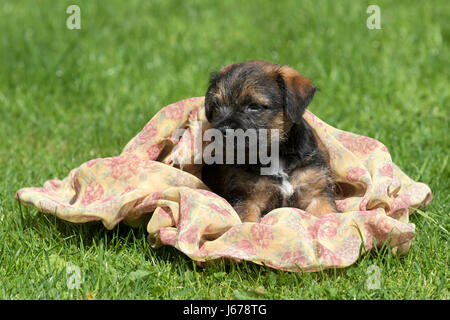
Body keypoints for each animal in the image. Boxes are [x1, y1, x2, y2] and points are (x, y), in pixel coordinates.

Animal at [201, 61, 338, 224]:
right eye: (216, 106)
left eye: (254, 106)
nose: (222, 130)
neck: (274, 153)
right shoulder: (247, 199)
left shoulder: (317, 195)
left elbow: (329, 214)